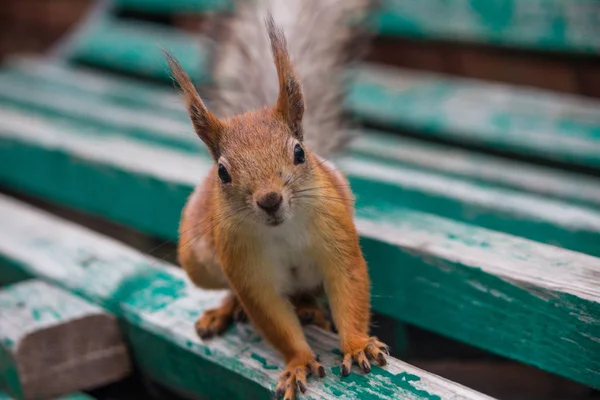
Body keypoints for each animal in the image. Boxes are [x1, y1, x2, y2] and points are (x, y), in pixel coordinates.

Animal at [165, 1, 390, 398]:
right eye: (222, 173)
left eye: (299, 152)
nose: (269, 200)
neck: (281, 230)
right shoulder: (246, 269)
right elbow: (272, 319)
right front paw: (298, 362)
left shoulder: (336, 235)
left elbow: (349, 287)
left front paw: (357, 344)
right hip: (197, 259)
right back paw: (225, 310)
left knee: (307, 294)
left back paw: (310, 309)